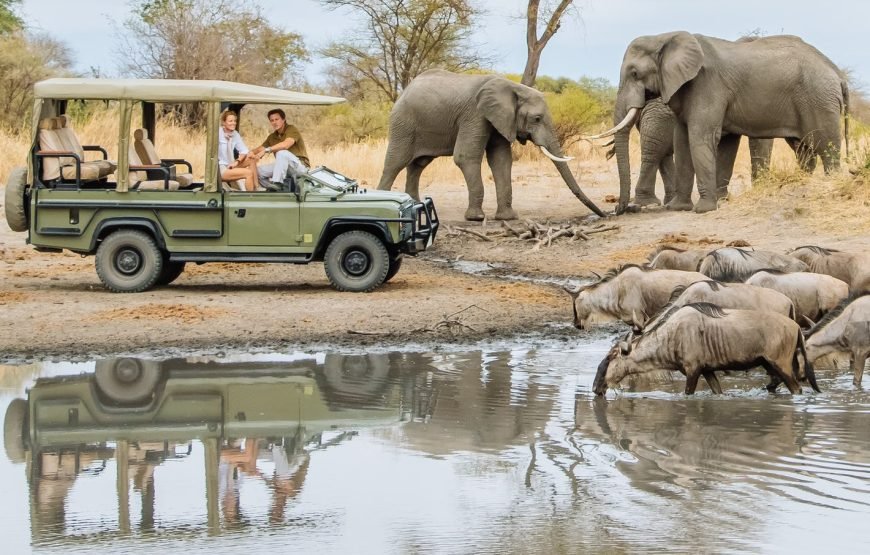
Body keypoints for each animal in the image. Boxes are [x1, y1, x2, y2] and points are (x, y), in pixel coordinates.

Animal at [374, 70, 608, 223]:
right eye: (537, 119)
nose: (605, 215)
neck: (512, 88)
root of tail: (405, 90)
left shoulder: (501, 120)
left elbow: (501, 159)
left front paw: (508, 217)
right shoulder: (475, 114)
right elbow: (465, 156)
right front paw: (476, 218)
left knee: (418, 164)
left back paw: (415, 206)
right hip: (403, 123)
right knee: (395, 162)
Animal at [596, 32, 848, 214]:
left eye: (634, 73)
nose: (619, 209)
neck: (664, 37)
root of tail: (837, 73)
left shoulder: (707, 85)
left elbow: (700, 138)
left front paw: (704, 209)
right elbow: (687, 142)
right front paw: (680, 207)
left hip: (819, 99)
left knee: (826, 147)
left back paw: (830, 184)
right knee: (804, 148)